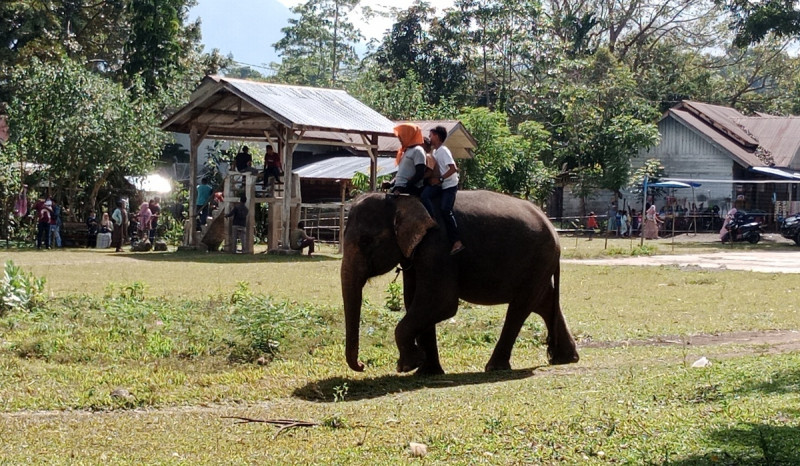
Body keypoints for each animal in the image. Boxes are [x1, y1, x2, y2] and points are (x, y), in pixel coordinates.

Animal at [340, 189, 580, 374]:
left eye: (365, 240)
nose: (362, 366)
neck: (403, 198)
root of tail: (551, 225)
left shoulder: (438, 246)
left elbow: (440, 302)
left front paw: (408, 365)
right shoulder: (416, 254)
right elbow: (414, 300)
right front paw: (426, 371)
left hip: (539, 259)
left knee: (521, 306)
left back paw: (495, 367)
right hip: (540, 265)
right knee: (544, 302)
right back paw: (565, 359)